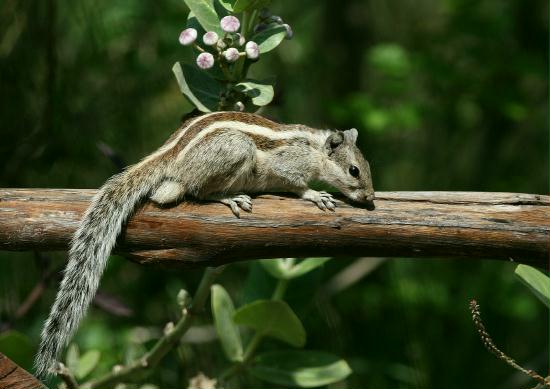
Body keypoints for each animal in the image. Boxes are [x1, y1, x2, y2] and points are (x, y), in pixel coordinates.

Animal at [34, 110, 378, 376]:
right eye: (354, 170)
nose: (370, 199)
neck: (316, 149)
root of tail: (168, 157)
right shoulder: (289, 165)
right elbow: (295, 184)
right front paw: (314, 194)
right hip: (236, 150)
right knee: (196, 190)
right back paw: (229, 197)